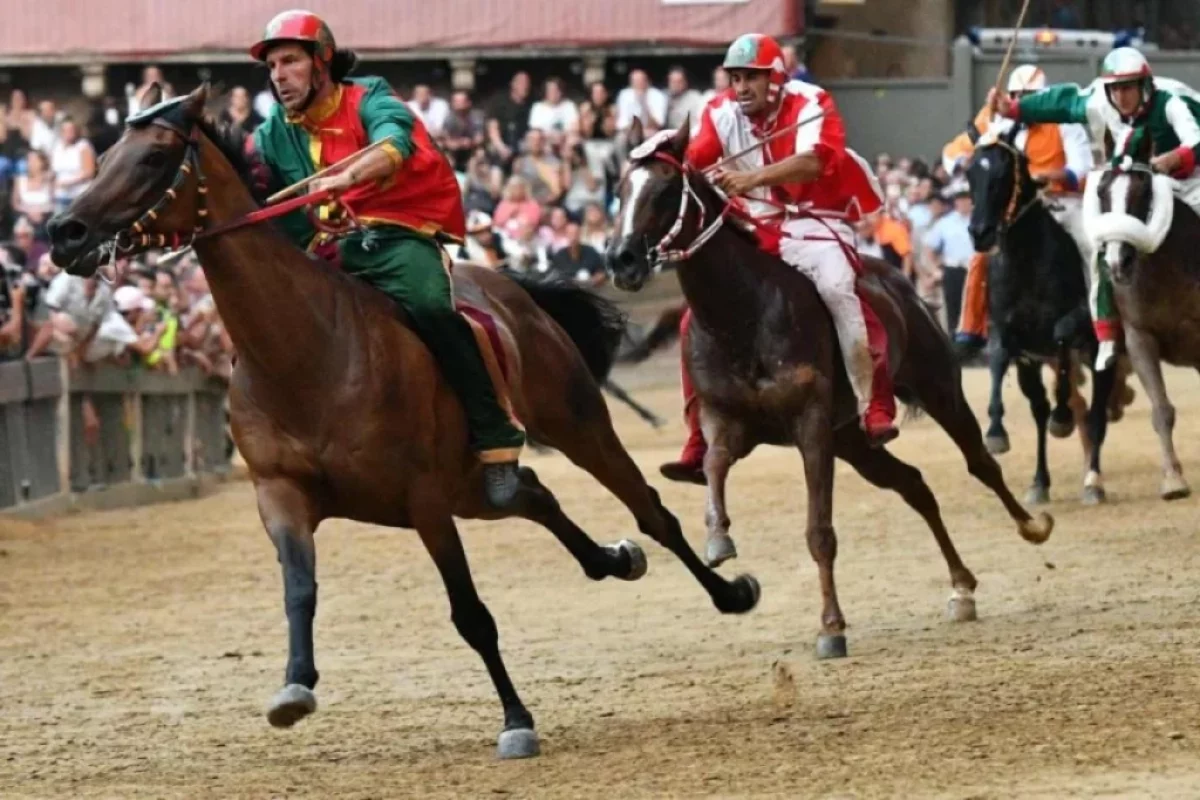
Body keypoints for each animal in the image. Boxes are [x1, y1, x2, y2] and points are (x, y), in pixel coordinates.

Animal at [49, 84, 758, 762]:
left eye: (152, 158)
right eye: (103, 157)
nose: (64, 231)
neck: (305, 352)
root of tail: (513, 289)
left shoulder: (423, 500)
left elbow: (471, 614)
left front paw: (517, 722)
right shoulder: (281, 494)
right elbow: (299, 590)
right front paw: (294, 685)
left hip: (574, 425)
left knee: (651, 512)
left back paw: (728, 591)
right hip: (473, 486)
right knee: (530, 494)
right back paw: (613, 558)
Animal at [609, 117, 1051, 657]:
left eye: (666, 189)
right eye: (620, 189)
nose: (621, 259)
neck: (742, 313)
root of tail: (899, 283)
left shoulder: (812, 426)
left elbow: (819, 531)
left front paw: (831, 627)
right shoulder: (727, 419)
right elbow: (713, 464)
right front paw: (718, 538)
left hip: (936, 388)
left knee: (980, 462)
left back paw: (1032, 525)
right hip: (854, 439)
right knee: (913, 485)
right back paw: (961, 587)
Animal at [964, 131, 1123, 506]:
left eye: (1004, 174)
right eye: (968, 174)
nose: (980, 232)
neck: (1028, 262)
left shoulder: (1074, 322)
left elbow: (1063, 335)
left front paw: (1062, 416)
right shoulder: (1010, 336)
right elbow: (997, 358)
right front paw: (995, 432)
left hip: (1101, 349)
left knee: (1096, 414)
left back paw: (1093, 482)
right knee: (1039, 410)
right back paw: (1039, 482)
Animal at [1089, 134, 1200, 503]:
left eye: (1143, 193)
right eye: (1101, 193)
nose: (1117, 262)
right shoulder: (1140, 336)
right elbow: (1161, 410)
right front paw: (1173, 479)